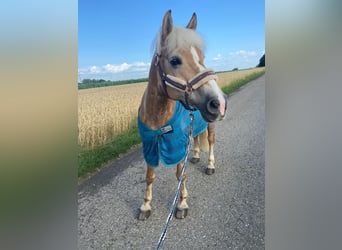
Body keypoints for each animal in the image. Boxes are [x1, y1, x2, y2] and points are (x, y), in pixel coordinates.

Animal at [136, 9, 227, 220]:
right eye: (175, 60)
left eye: (202, 57)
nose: (219, 102)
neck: (158, 118)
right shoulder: (149, 145)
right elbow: (149, 176)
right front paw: (145, 205)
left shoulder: (176, 143)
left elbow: (180, 175)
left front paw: (182, 203)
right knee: (196, 140)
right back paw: (195, 156)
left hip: (211, 125)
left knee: (210, 141)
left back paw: (210, 165)